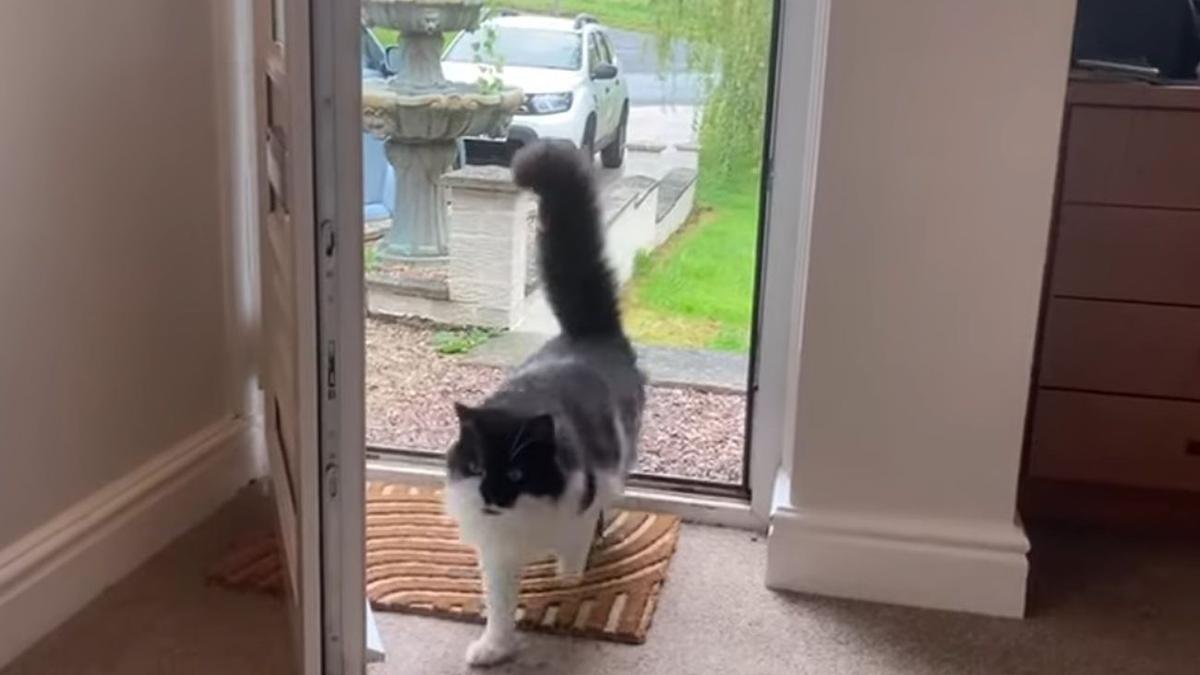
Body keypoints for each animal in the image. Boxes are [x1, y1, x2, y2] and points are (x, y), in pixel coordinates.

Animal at [444, 139, 648, 662]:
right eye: (476, 467)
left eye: (517, 473)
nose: (492, 496)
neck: (522, 525)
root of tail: (586, 336)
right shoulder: (496, 554)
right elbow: (499, 607)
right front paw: (493, 649)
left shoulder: (580, 507)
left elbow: (574, 553)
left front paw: (569, 581)